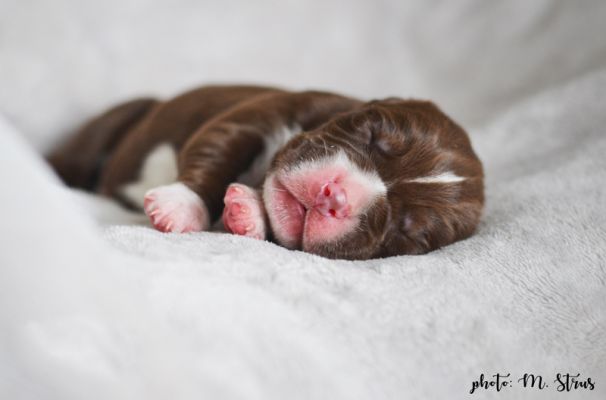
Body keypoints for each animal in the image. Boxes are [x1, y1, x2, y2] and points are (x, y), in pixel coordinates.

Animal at [47, 85, 486, 260]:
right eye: (372, 131)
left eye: (409, 231)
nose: (335, 196)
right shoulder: (253, 115)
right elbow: (215, 151)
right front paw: (182, 205)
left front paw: (248, 212)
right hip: (115, 122)